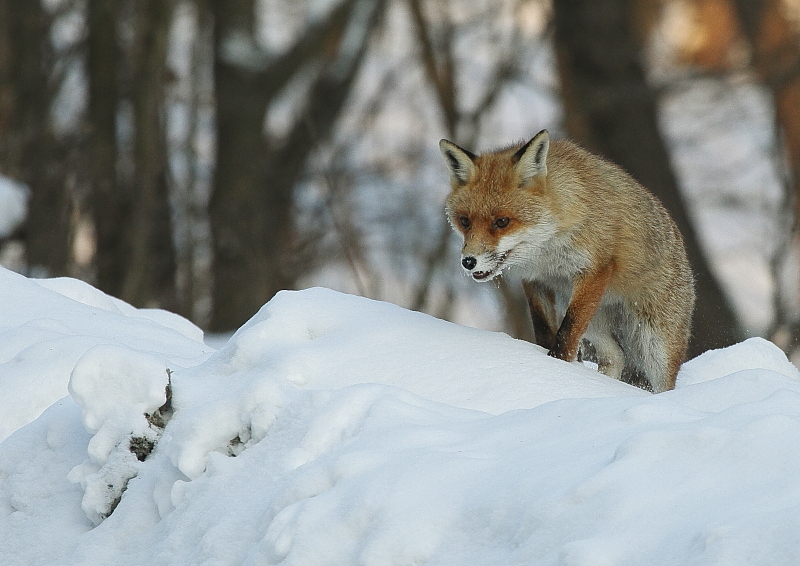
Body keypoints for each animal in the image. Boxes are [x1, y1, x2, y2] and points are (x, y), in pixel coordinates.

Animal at [440, 130, 696, 392]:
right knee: (616, 356)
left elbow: (567, 333)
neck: (546, 250)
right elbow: (544, 330)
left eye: (502, 222)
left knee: (662, 382)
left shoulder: (594, 269)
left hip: (655, 346)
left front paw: (557, 367)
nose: (469, 261)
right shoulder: (534, 279)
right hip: (593, 321)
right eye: (464, 221)